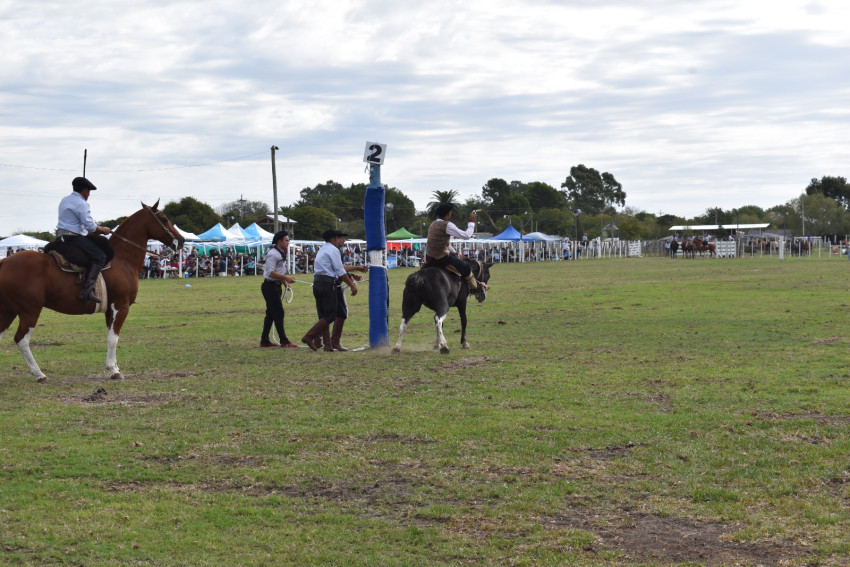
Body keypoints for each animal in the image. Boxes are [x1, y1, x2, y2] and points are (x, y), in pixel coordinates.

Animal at [0, 201, 184, 382]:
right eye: (164, 218)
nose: (181, 240)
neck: (122, 259)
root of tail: (4, 262)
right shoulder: (120, 306)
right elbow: (113, 338)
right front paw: (113, 371)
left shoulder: (110, 310)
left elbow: (111, 335)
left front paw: (114, 367)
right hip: (30, 311)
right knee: (21, 340)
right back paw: (39, 374)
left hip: (8, 311)